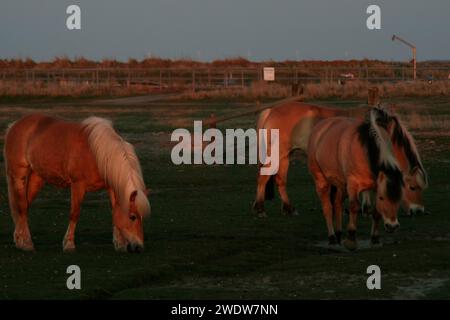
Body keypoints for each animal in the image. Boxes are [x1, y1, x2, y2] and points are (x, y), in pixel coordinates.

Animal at [3, 114, 151, 252]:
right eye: (132, 217)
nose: (139, 247)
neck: (98, 153)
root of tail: (15, 125)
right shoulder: (77, 184)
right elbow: (74, 213)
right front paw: (69, 244)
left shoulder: (112, 187)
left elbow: (115, 211)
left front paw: (119, 244)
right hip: (19, 174)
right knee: (22, 206)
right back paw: (26, 243)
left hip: (36, 177)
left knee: (25, 207)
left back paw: (19, 239)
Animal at [251, 102, 428, 218]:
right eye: (412, 187)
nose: (418, 211)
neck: (376, 130)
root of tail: (271, 111)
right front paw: (366, 208)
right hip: (276, 154)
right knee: (263, 178)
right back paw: (260, 209)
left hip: (285, 156)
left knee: (280, 180)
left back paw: (289, 208)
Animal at [308, 108, 402, 250]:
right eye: (382, 198)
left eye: (398, 198)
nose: (392, 226)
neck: (367, 149)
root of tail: (319, 128)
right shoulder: (353, 184)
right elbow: (354, 207)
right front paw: (351, 239)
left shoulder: (376, 186)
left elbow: (376, 211)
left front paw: (375, 238)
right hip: (321, 181)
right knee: (327, 208)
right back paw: (332, 238)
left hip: (341, 184)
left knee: (337, 204)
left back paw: (338, 235)